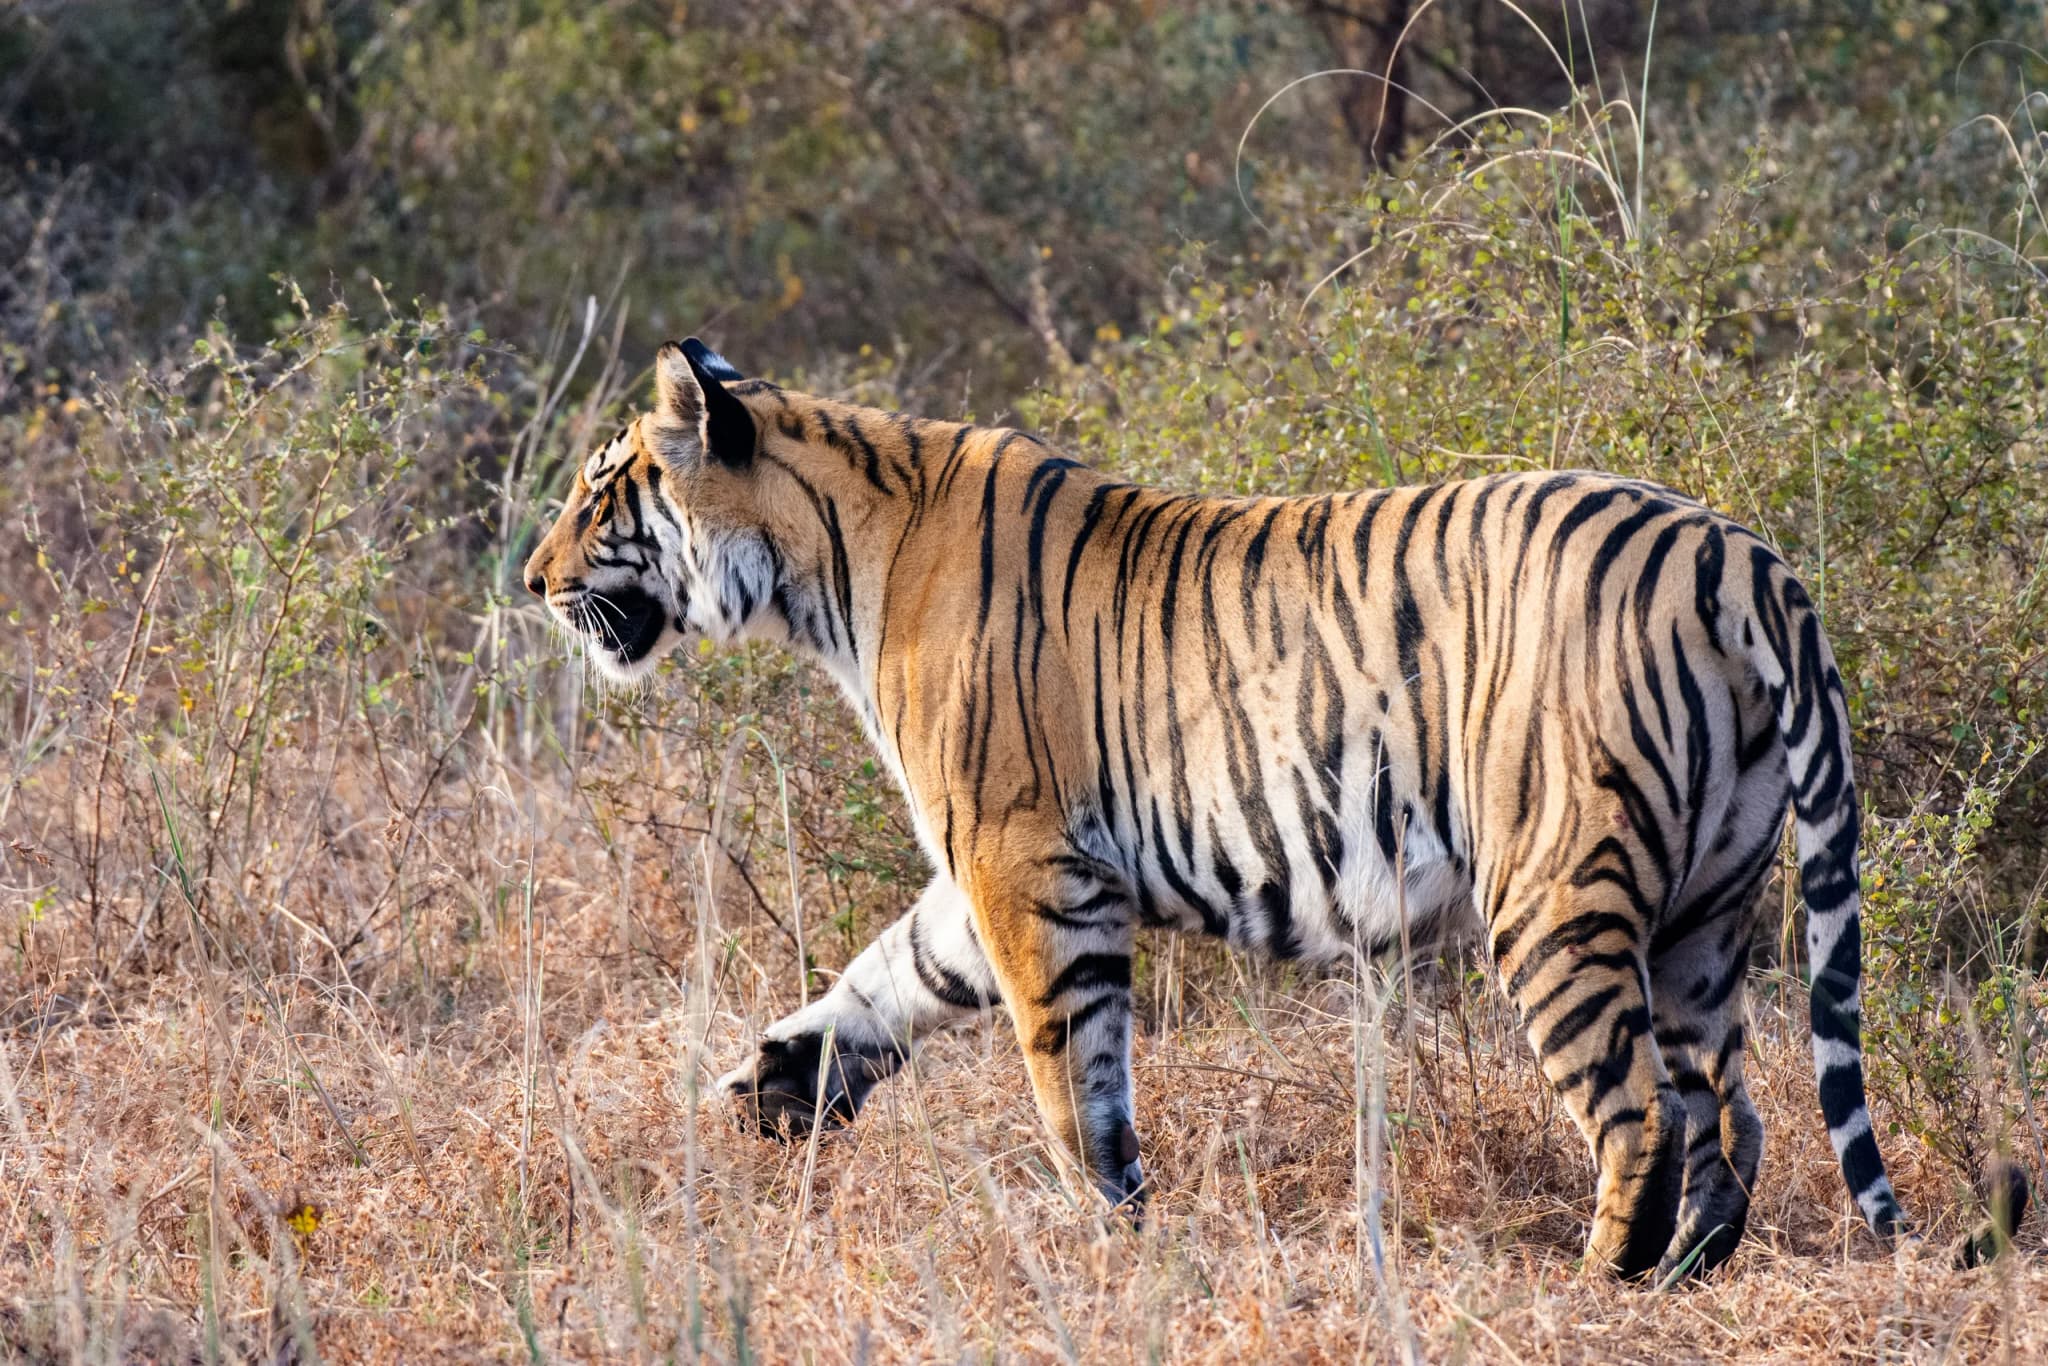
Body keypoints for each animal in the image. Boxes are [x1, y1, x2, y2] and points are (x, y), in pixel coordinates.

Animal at [523, 337, 2022, 1280]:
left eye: (601, 495)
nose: (530, 580)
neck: (822, 562)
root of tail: (1739, 554)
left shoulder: (1023, 858)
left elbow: (1071, 1070)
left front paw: (1112, 1226)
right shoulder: (991, 873)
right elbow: (890, 970)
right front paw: (773, 1084)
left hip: (1553, 893)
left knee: (1645, 1108)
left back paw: (1598, 1280)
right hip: (1708, 905)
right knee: (1735, 1106)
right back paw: (1683, 1277)